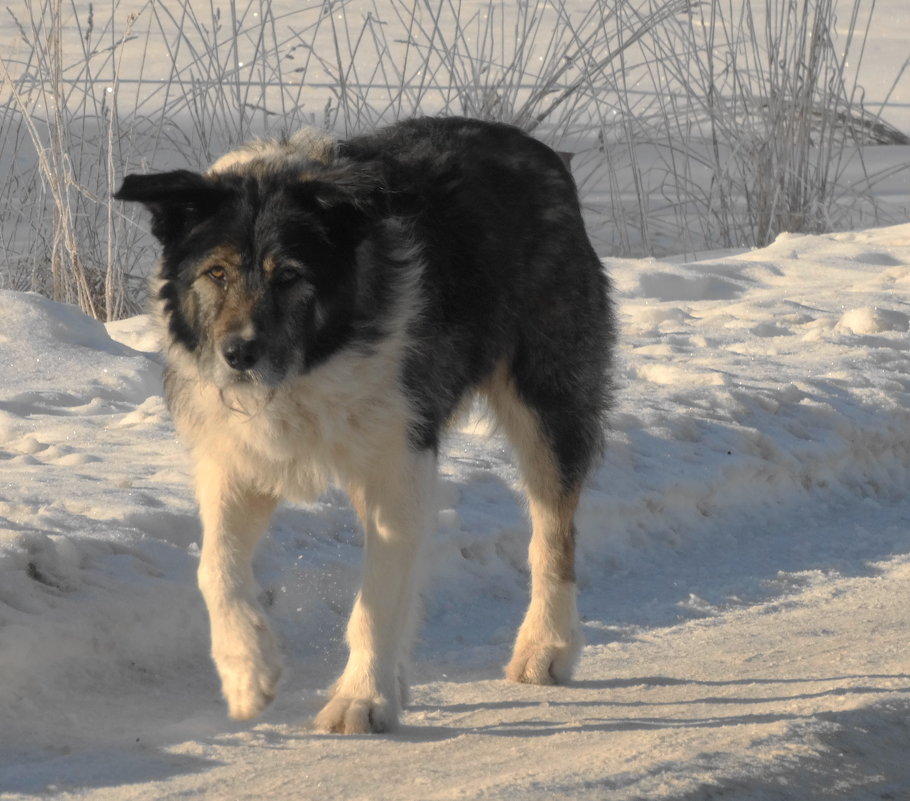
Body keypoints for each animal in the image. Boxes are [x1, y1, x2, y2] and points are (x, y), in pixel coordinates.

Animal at [112, 115, 612, 736]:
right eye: (217, 272)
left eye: (290, 275)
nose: (238, 355)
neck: (310, 365)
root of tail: (540, 150)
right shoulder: (238, 460)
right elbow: (216, 568)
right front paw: (248, 672)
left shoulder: (397, 462)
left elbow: (376, 598)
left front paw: (361, 699)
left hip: (547, 403)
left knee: (553, 533)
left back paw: (546, 647)